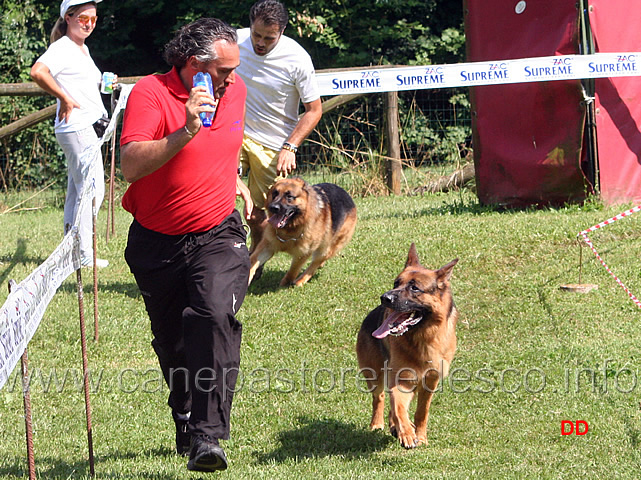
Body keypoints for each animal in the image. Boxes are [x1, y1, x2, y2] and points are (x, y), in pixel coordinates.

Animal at [356, 246, 460, 448]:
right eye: (396, 283)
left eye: (415, 288)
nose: (385, 297)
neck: (423, 338)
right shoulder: (401, 381)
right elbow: (399, 408)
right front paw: (407, 434)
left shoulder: (429, 382)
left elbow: (422, 412)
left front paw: (420, 436)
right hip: (375, 374)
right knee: (380, 398)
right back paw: (378, 424)